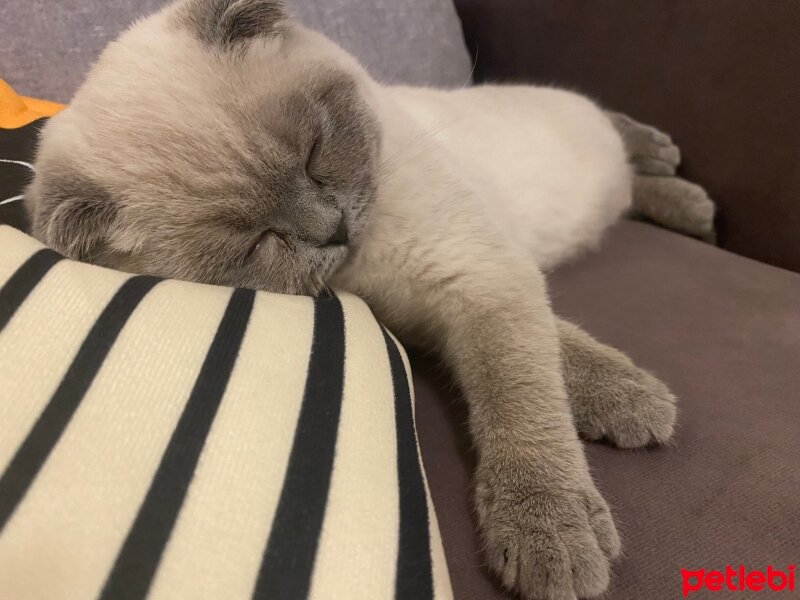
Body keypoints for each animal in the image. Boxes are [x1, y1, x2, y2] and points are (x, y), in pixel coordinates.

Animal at [23, 2, 712, 596]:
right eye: (256, 240)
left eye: (313, 154)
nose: (333, 230)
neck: (368, 263)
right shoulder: (441, 301)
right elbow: (547, 363)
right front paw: (625, 409)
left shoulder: (478, 272)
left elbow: (522, 393)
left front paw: (557, 528)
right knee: (631, 180)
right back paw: (689, 202)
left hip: (569, 123)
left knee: (616, 130)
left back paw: (681, 179)